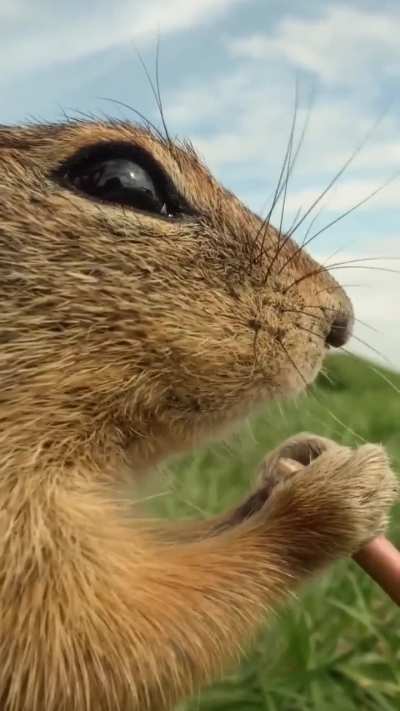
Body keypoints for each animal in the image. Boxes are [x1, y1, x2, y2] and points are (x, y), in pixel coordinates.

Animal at [0, 120, 397, 710]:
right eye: (124, 180)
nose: (341, 321)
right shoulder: (24, 566)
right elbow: (96, 648)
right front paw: (332, 496)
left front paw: (294, 462)